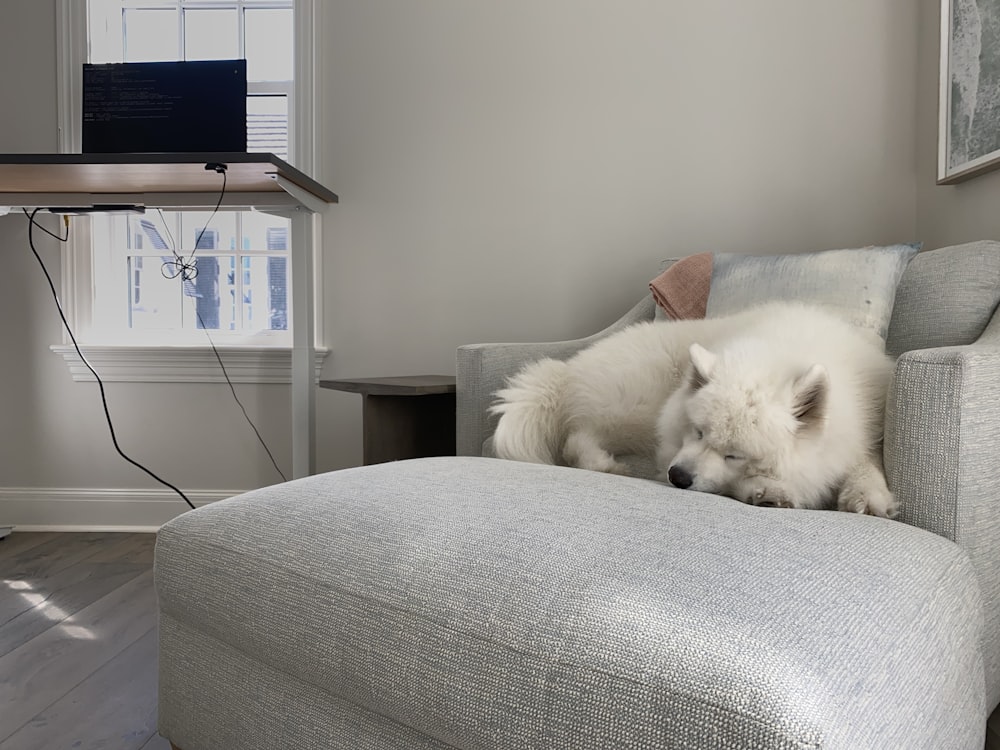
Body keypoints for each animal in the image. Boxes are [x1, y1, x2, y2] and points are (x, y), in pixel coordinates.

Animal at [492, 302, 900, 520]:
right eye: (698, 431)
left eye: (734, 454)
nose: (678, 477)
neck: (785, 348)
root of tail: (567, 370)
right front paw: (766, 490)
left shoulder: (865, 428)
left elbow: (869, 460)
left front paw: (868, 495)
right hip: (636, 406)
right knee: (577, 439)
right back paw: (607, 465)